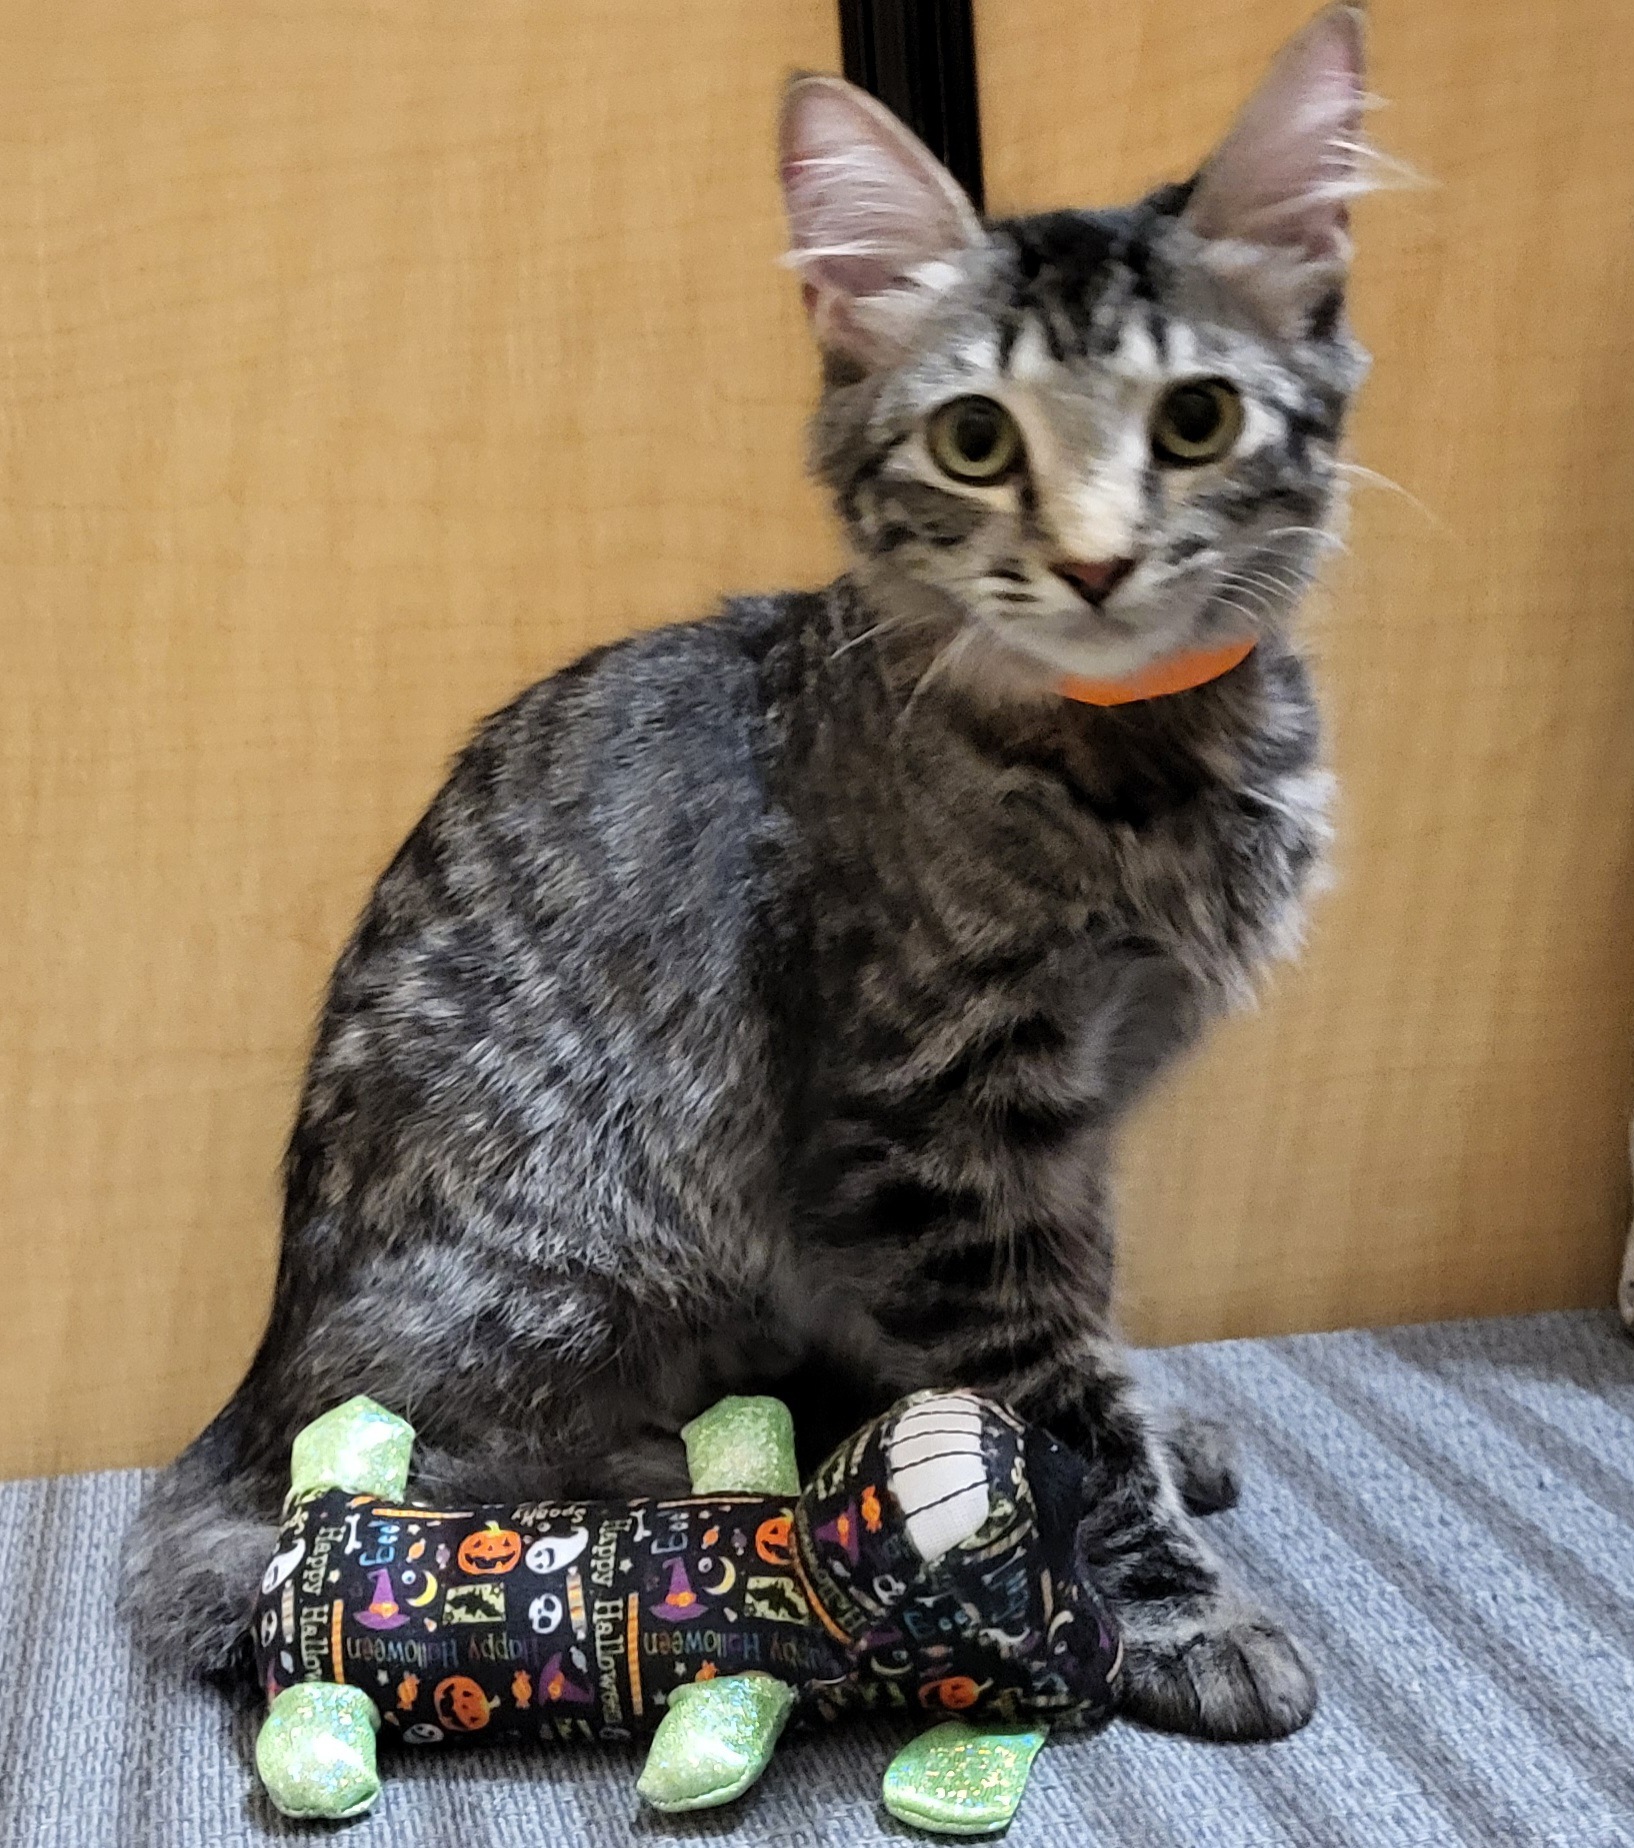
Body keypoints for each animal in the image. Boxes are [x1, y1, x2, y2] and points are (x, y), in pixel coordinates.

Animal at [123, 6, 1370, 1744]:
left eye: (1195, 421)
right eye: (974, 442)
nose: (1094, 562)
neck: (1135, 763)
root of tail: (239, 1400)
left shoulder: (1070, 1124)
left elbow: (1082, 1319)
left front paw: (1143, 1447)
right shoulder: (937, 1130)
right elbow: (1051, 1383)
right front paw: (1168, 1601)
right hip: (588, 1263)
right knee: (412, 1462)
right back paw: (718, 1484)